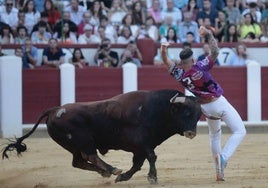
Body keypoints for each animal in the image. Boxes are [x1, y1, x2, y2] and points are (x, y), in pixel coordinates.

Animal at [1, 89, 201, 184]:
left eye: (198, 115)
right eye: (186, 113)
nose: (192, 133)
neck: (159, 109)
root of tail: (54, 109)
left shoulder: (140, 148)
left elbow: (138, 164)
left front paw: (124, 177)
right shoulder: (142, 142)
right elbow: (151, 157)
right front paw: (152, 177)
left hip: (73, 146)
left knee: (78, 162)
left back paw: (107, 171)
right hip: (83, 140)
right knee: (91, 155)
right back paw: (111, 168)